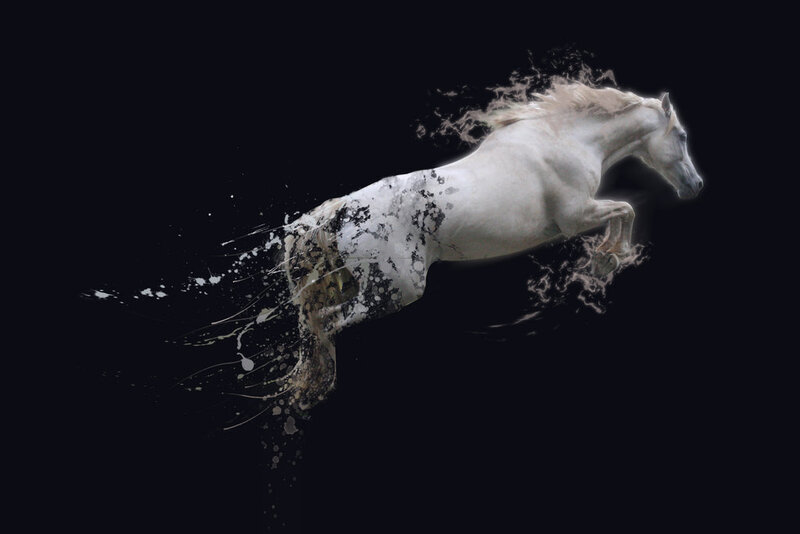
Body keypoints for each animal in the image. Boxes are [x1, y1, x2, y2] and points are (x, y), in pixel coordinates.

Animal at [281, 82, 703, 409]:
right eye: (682, 136)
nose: (695, 186)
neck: (564, 139)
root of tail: (342, 212)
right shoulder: (576, 217)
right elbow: (627, 210)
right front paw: (609, 259)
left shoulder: (583, 214)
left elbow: (624, 211)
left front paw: (606, 260)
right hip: (394, 291)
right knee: (326, 321)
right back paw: (317, 388)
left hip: (361, 286)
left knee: (314, 322)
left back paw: (308, 389)